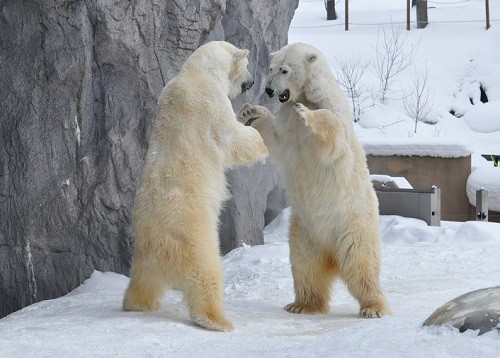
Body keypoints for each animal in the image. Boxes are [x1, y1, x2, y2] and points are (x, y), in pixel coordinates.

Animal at [123, 40, 268, 332]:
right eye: (247, 66)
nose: (251, 82)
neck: (195, 73)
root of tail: (158, 244)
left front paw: (248, 112)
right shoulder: (210, 102)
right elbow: (231, 140)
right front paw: (259, 133)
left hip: (143, 254)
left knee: (143, 280)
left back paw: (137, 304)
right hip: (193, 235)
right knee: (206, 273)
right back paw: (218, 320)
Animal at [238, 43, 390, 318]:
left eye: (285, 70)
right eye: (271, 68)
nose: (269, 90)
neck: (305, 93)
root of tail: (332, 254)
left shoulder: (331, 106)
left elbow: (334, 136)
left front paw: (307, 114)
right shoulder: (286, 122)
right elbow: (276, 140)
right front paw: (250, 111)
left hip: (353, 224)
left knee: (361, 263)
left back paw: (373, 307)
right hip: (304, 230)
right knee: (305, 265)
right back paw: (302, 304)